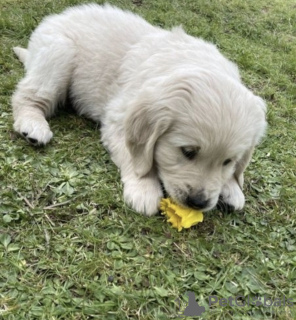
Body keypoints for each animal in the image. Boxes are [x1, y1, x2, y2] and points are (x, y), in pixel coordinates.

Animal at [11, 3, 268, 215]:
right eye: (188, 152)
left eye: (228, 161)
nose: (198, 202)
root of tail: (56, 17)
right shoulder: (118, 119)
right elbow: (135, 159)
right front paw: (144, 190)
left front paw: (233, 188)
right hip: (58, 55)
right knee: (26, 95)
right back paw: (33, 126)